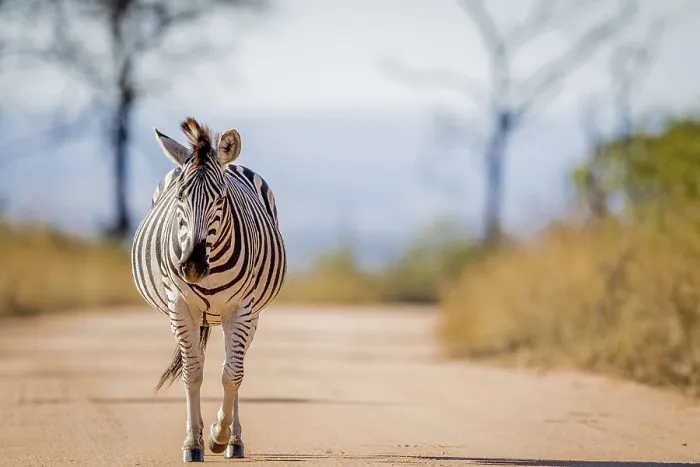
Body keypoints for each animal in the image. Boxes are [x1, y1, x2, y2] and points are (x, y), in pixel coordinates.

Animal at [131, 117, 287, 462]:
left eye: (221, 199)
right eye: (179, 198)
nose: (191, 265)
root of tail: (234, 163)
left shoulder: (241, 309)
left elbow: (232, 374)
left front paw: (219, 435)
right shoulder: (179, 306)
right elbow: (192, 372)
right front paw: (193, 442)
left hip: (249, 316)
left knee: (233, 366)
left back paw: (233, 440)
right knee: (198, 363)